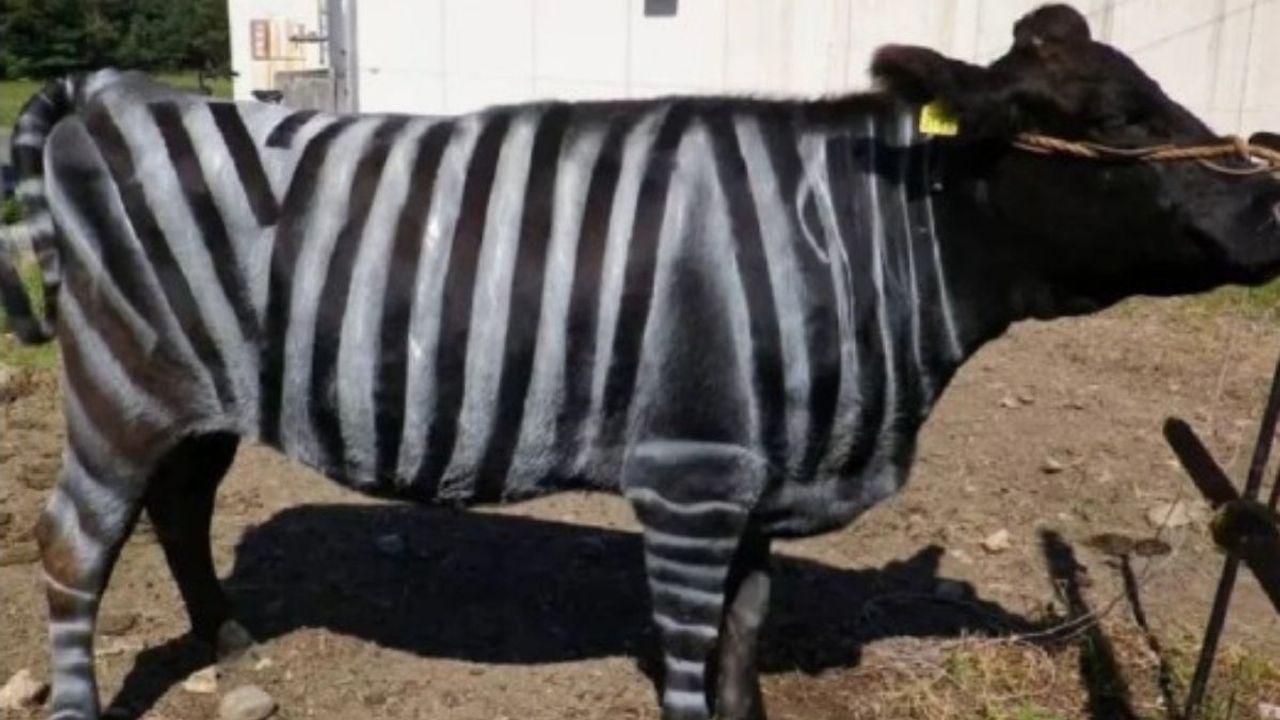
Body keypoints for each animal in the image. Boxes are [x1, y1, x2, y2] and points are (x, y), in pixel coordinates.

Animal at [4, 5, 1280, 719]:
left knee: (177, 511)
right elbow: (687, 652)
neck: (854, 247)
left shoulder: (761, 476)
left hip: (202, 398)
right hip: (119, 389)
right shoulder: (690, 478)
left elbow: (742, 640)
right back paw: (83, 704)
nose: (1271, 202)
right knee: (73, 550)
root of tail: (113, 91)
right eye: (1113, 122)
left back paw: (230, 641)